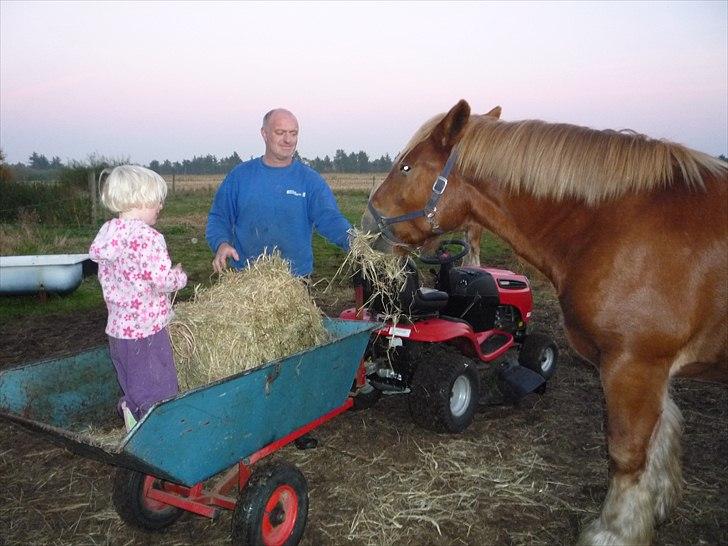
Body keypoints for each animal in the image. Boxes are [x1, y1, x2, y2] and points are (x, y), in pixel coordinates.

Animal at [364, 100, 728, 540]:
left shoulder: (639, 362)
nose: (367, 225)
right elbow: (640, 446)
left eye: (405, 167)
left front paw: (620, 527)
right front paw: (631, 522)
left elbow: (636, 447)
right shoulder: (640, 363)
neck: (607, 226)